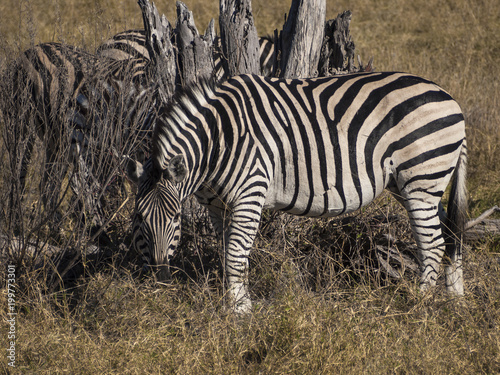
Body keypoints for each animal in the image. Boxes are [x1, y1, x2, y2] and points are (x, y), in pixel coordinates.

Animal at [126, 72, 468, 312]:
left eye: (175, 219)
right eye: (139, 219)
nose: (159, 282)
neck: (218, 142)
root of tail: (450, 98)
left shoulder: (249, 194)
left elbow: (235, 255)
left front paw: (239, 314)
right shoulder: (217, 205)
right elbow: (228, 254)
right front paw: (235, 304)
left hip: (421, 177)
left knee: (433, 243)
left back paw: (419, 305)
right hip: (415, 183)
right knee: (450, 232)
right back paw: (454, 298)